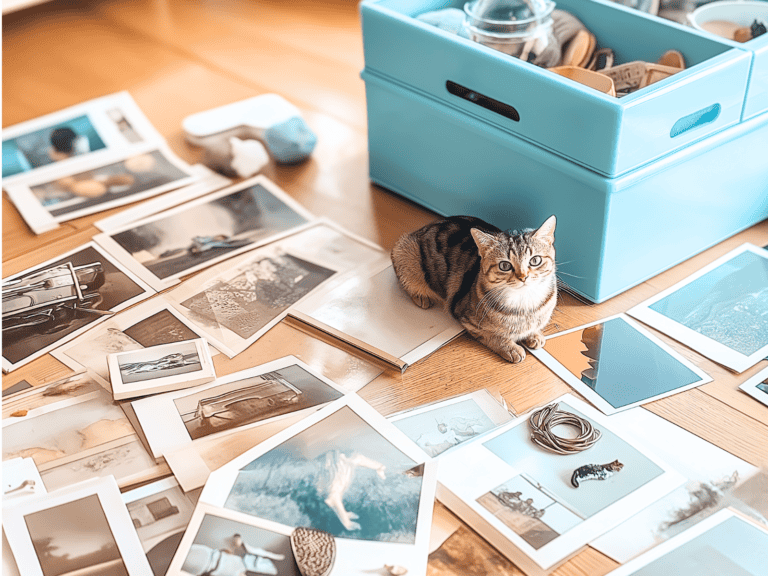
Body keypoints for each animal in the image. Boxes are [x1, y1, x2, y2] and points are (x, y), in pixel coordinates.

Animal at [392, 216, 556, 364]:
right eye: (505, 266)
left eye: (535, 260)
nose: (523, 277)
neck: (525, 304)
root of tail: (419, 230)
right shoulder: (467, 320)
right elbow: (494, 336)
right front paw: (511, 348)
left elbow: (533, 328)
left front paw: (535, 335)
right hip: (404, 253)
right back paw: (421, 297)